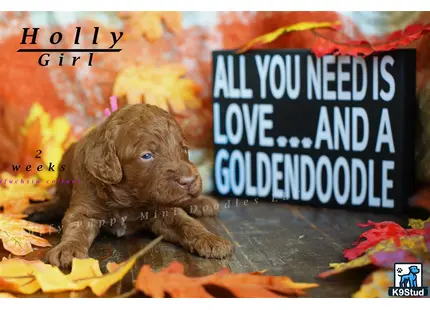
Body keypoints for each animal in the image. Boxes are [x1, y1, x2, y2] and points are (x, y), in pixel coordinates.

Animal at [25, 103, 233, 268]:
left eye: (184, 149)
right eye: (147, 155)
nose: (189, 180)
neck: (129, 199)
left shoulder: (164, 210)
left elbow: (186, 223)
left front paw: (210, 239)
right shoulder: (85, 206)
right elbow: (76, 228)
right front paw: (68, 249)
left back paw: (202, 202)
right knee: (59, 203)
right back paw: (38, 210)